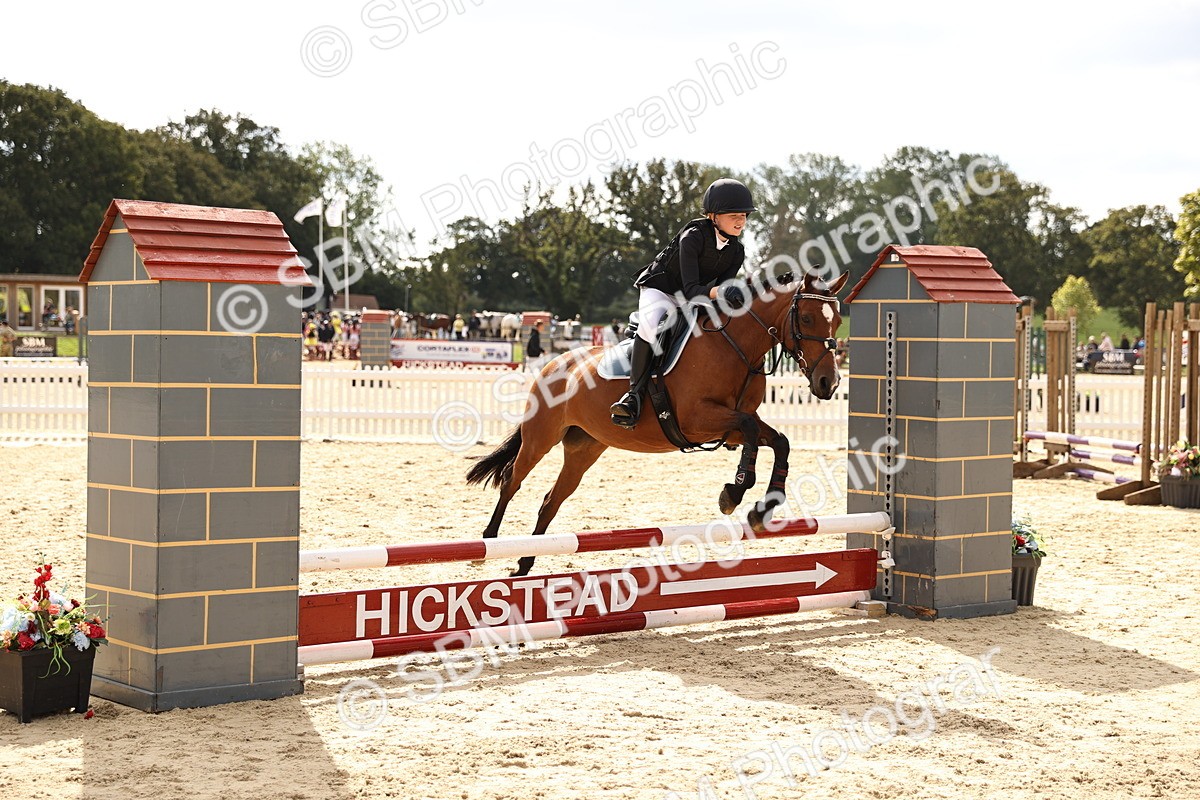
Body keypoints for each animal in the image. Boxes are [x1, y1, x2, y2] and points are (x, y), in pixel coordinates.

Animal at [467, 270, 849, 576]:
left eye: (836, 320)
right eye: (808, 319)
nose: (828, 383)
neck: (736, 346)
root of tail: (556, 362)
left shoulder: (730, 427)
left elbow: (778, 439)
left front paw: (764, 506)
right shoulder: (698, 420)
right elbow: (754, 433)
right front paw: (734, 491)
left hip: (584, 448)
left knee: (551, 500)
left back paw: (525, 563)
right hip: (540, 437)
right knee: (512, 480)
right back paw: (488, 544)